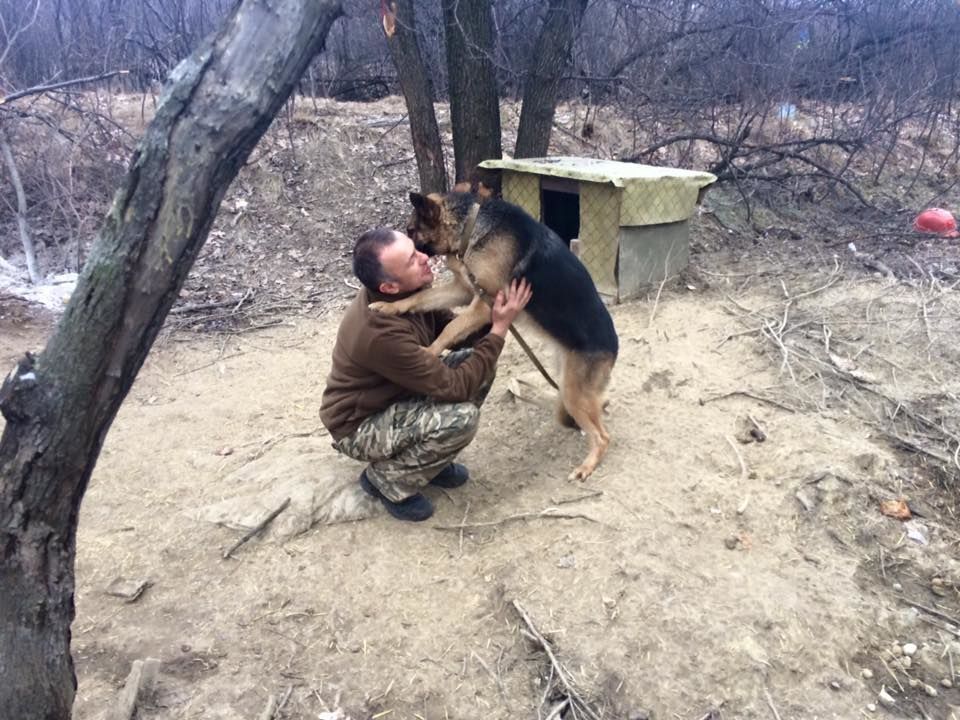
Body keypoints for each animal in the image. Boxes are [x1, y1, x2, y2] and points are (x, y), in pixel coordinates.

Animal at [372, 190, 620, 478]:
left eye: (411, 230)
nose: (419, 260)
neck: (471, 226)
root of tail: (614, 347)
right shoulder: (463, 291)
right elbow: (419, 298)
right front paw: (389, 307)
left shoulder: (484, 305)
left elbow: (451, 328)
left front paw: (429, 352)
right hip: (567, 382)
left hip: (573, 394)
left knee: (603, 436)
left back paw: (587, 466)